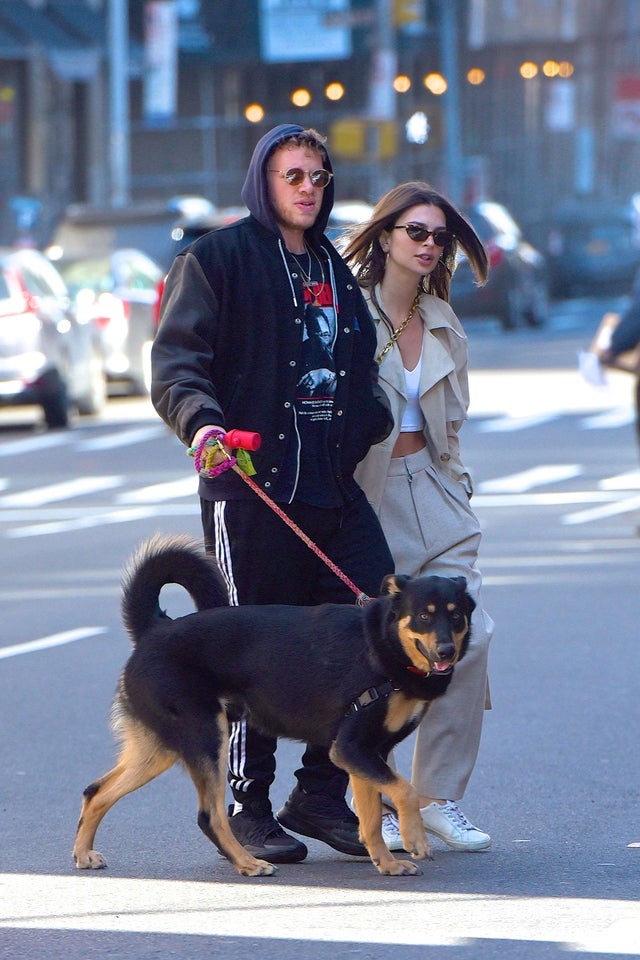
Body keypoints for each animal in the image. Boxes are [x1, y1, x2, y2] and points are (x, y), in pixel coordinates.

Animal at [74, 532, 476, 876]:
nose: (446, 651)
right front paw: (415, 839)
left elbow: (372, 818)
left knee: (96, 791)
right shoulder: (351, 747)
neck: (384, 644)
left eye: (455, 615)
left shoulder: (361, 753)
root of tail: (154, 629)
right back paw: (249, 863)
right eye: (424, 615)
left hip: (159, 748)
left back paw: (83, 854)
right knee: (209, 815)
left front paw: (387, 864)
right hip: (206, 738)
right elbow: (405, 790)